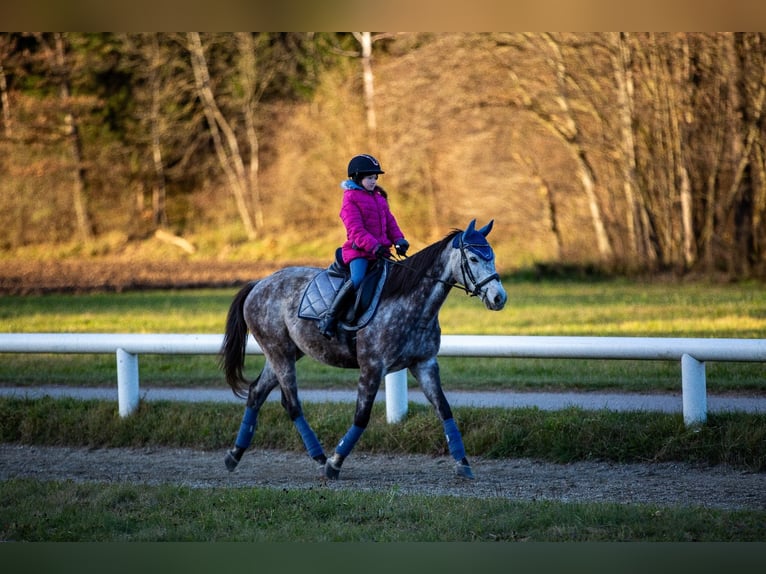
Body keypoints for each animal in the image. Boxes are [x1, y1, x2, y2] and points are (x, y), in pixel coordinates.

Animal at [219, 220, 508, 482]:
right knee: (291, 404)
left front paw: (463, 463)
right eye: (473, 258)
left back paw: (235, 454)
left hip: (283, 353)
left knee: (256, 393)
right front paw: (335, 463)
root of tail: (259, 283)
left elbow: (444, 409)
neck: (413, 304)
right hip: (279, 353)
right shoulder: (372, 367)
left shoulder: (425, 364)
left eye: (492, 256)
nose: (499, 298)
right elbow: (362, 416)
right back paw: (320, 458)